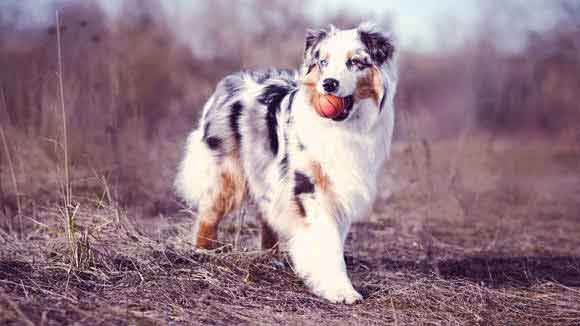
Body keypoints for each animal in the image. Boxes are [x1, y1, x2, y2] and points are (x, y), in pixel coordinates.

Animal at [174, 22, 396, 304]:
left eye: (355, 62)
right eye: (323, 62)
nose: (329, 84)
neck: (342, 128)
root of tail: (230, 81)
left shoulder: (338, 190)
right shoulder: (308, 186)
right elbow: (327, 241)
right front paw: (339, 289)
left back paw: (271, 257)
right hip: (228, 174)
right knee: (209, 212)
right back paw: (203, 251)